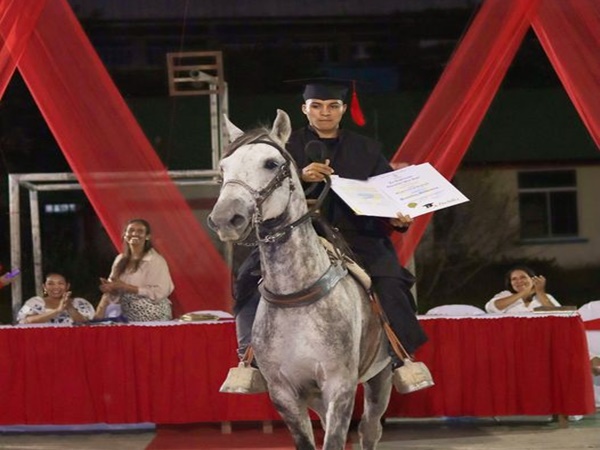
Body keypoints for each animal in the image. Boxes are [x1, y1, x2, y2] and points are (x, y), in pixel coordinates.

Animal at [207, 110, 394, 450]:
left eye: (270, 163)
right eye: (224, 167)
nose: (226, 218)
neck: (297, 295)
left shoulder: (340, 386)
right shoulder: (285, 393)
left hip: (380, 376)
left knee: (370, 429)